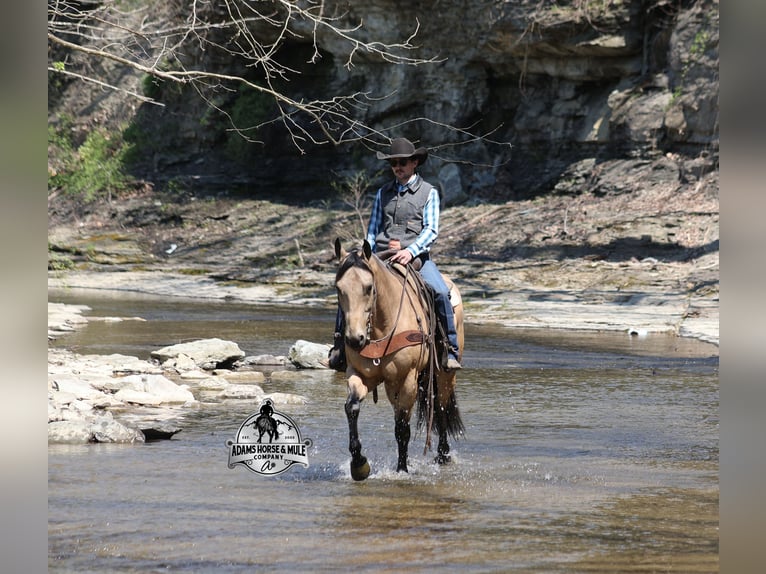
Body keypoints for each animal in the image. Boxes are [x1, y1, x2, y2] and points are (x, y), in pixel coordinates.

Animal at [334, 238, 464, 481]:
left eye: (369, 288)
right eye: (338, 288)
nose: (355, 339)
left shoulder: (406, 379)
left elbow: (402, 427)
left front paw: (401, 470)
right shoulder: (359, 374)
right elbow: (352, 408)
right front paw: (359, 464)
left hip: (444, 374)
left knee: (441, 406)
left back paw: (443, 455)